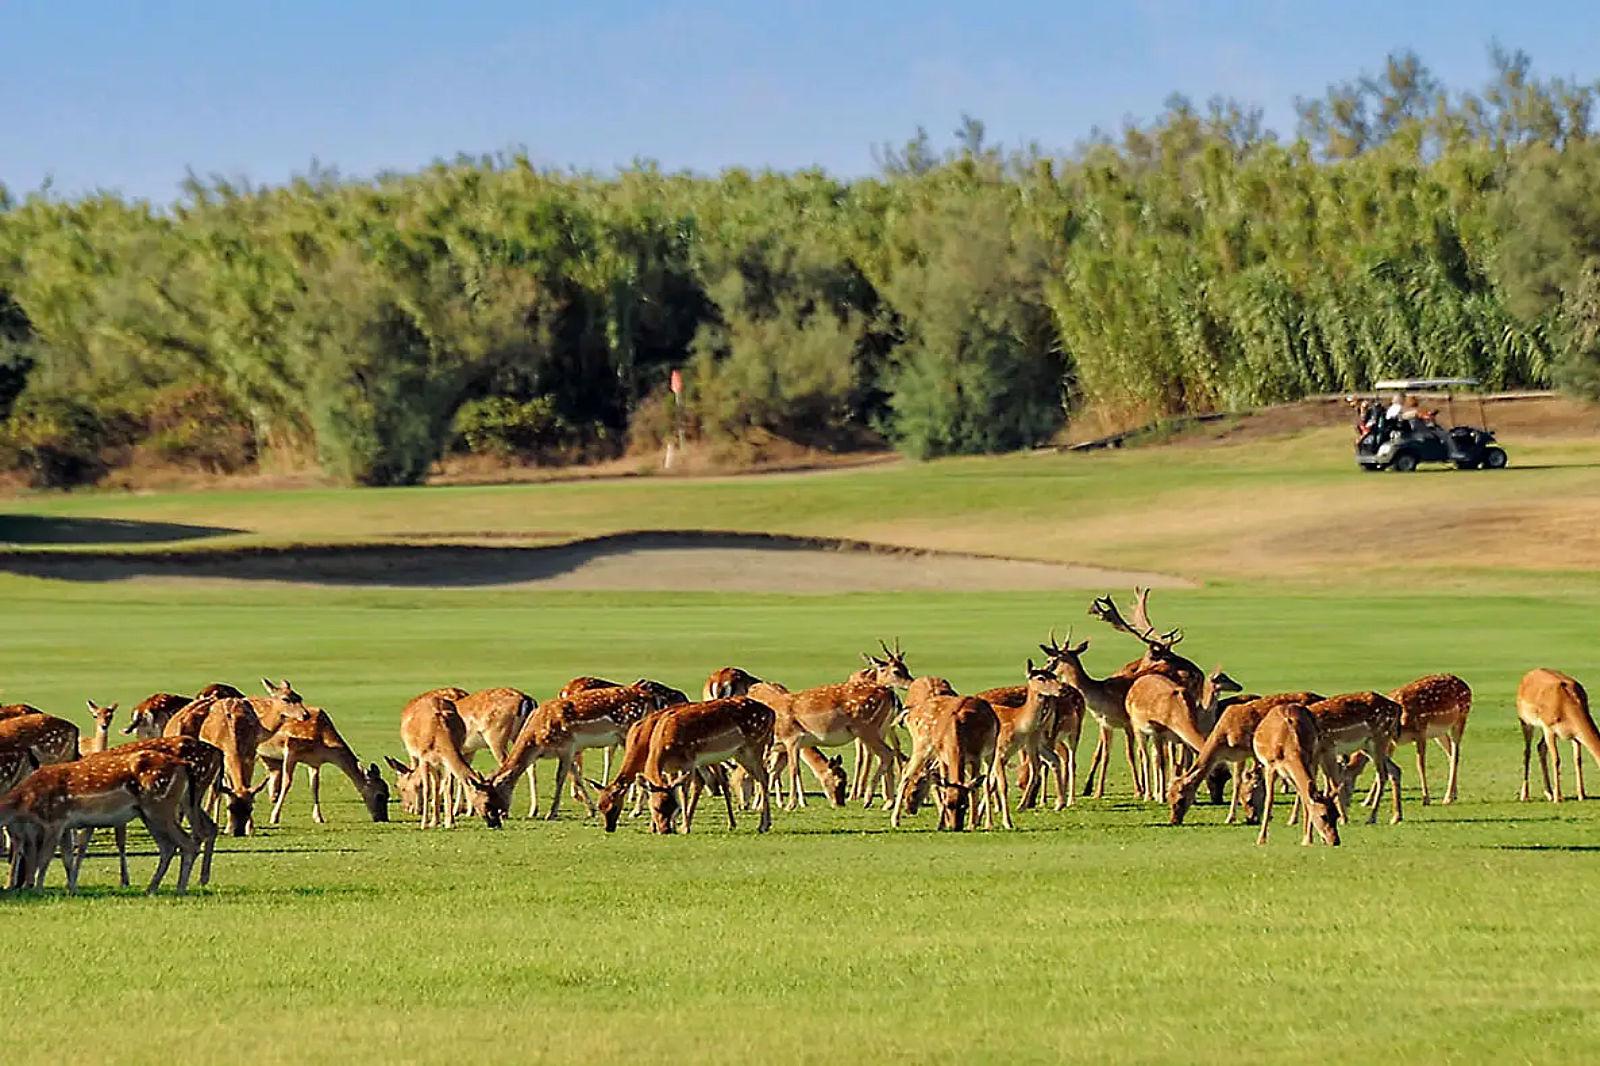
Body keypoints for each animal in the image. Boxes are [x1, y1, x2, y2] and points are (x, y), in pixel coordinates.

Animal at [636, 694, 774, 832]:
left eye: (675, 807)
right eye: (655, 807)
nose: (665, 830)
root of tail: (772, 713)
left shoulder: (689, 760)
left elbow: (684, 792)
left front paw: (685, 828)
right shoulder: (676, 768)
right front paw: (655, 828)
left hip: (755, 745)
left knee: (764, 777)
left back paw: (763, 825)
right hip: (740, 753)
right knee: (761, 777)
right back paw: (762, 824)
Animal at [1164, 688, 1324, 819]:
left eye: (1180, 799)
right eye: (1169, 797)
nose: (1174, 820)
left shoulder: (1249, 750)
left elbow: (1250, 779)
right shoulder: (1241, 756)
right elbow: (1241, 781)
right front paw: (1235, 817)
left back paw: (1294, 817)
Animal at [1248, 701, 1337, 845]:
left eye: (1337, 815)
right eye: (1323, 816)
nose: (1335, 841)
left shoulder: (1309, 761)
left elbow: (1306, 800)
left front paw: (1307, 839)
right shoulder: (1270, 766)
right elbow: (1269, 800)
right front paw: (1261, 839)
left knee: (1302, 793)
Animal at [1510, 665, 1600, 797]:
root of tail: (1528, 675)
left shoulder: (1575, 736)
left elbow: (1577, 760)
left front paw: (1581, 795)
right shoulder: (1550, 731)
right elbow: (1556, 760)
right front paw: (1558, 797)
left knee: (1540, 747)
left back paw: (1549, 793)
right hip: (1527, 723)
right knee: (1527, 752)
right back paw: (1525, 795)